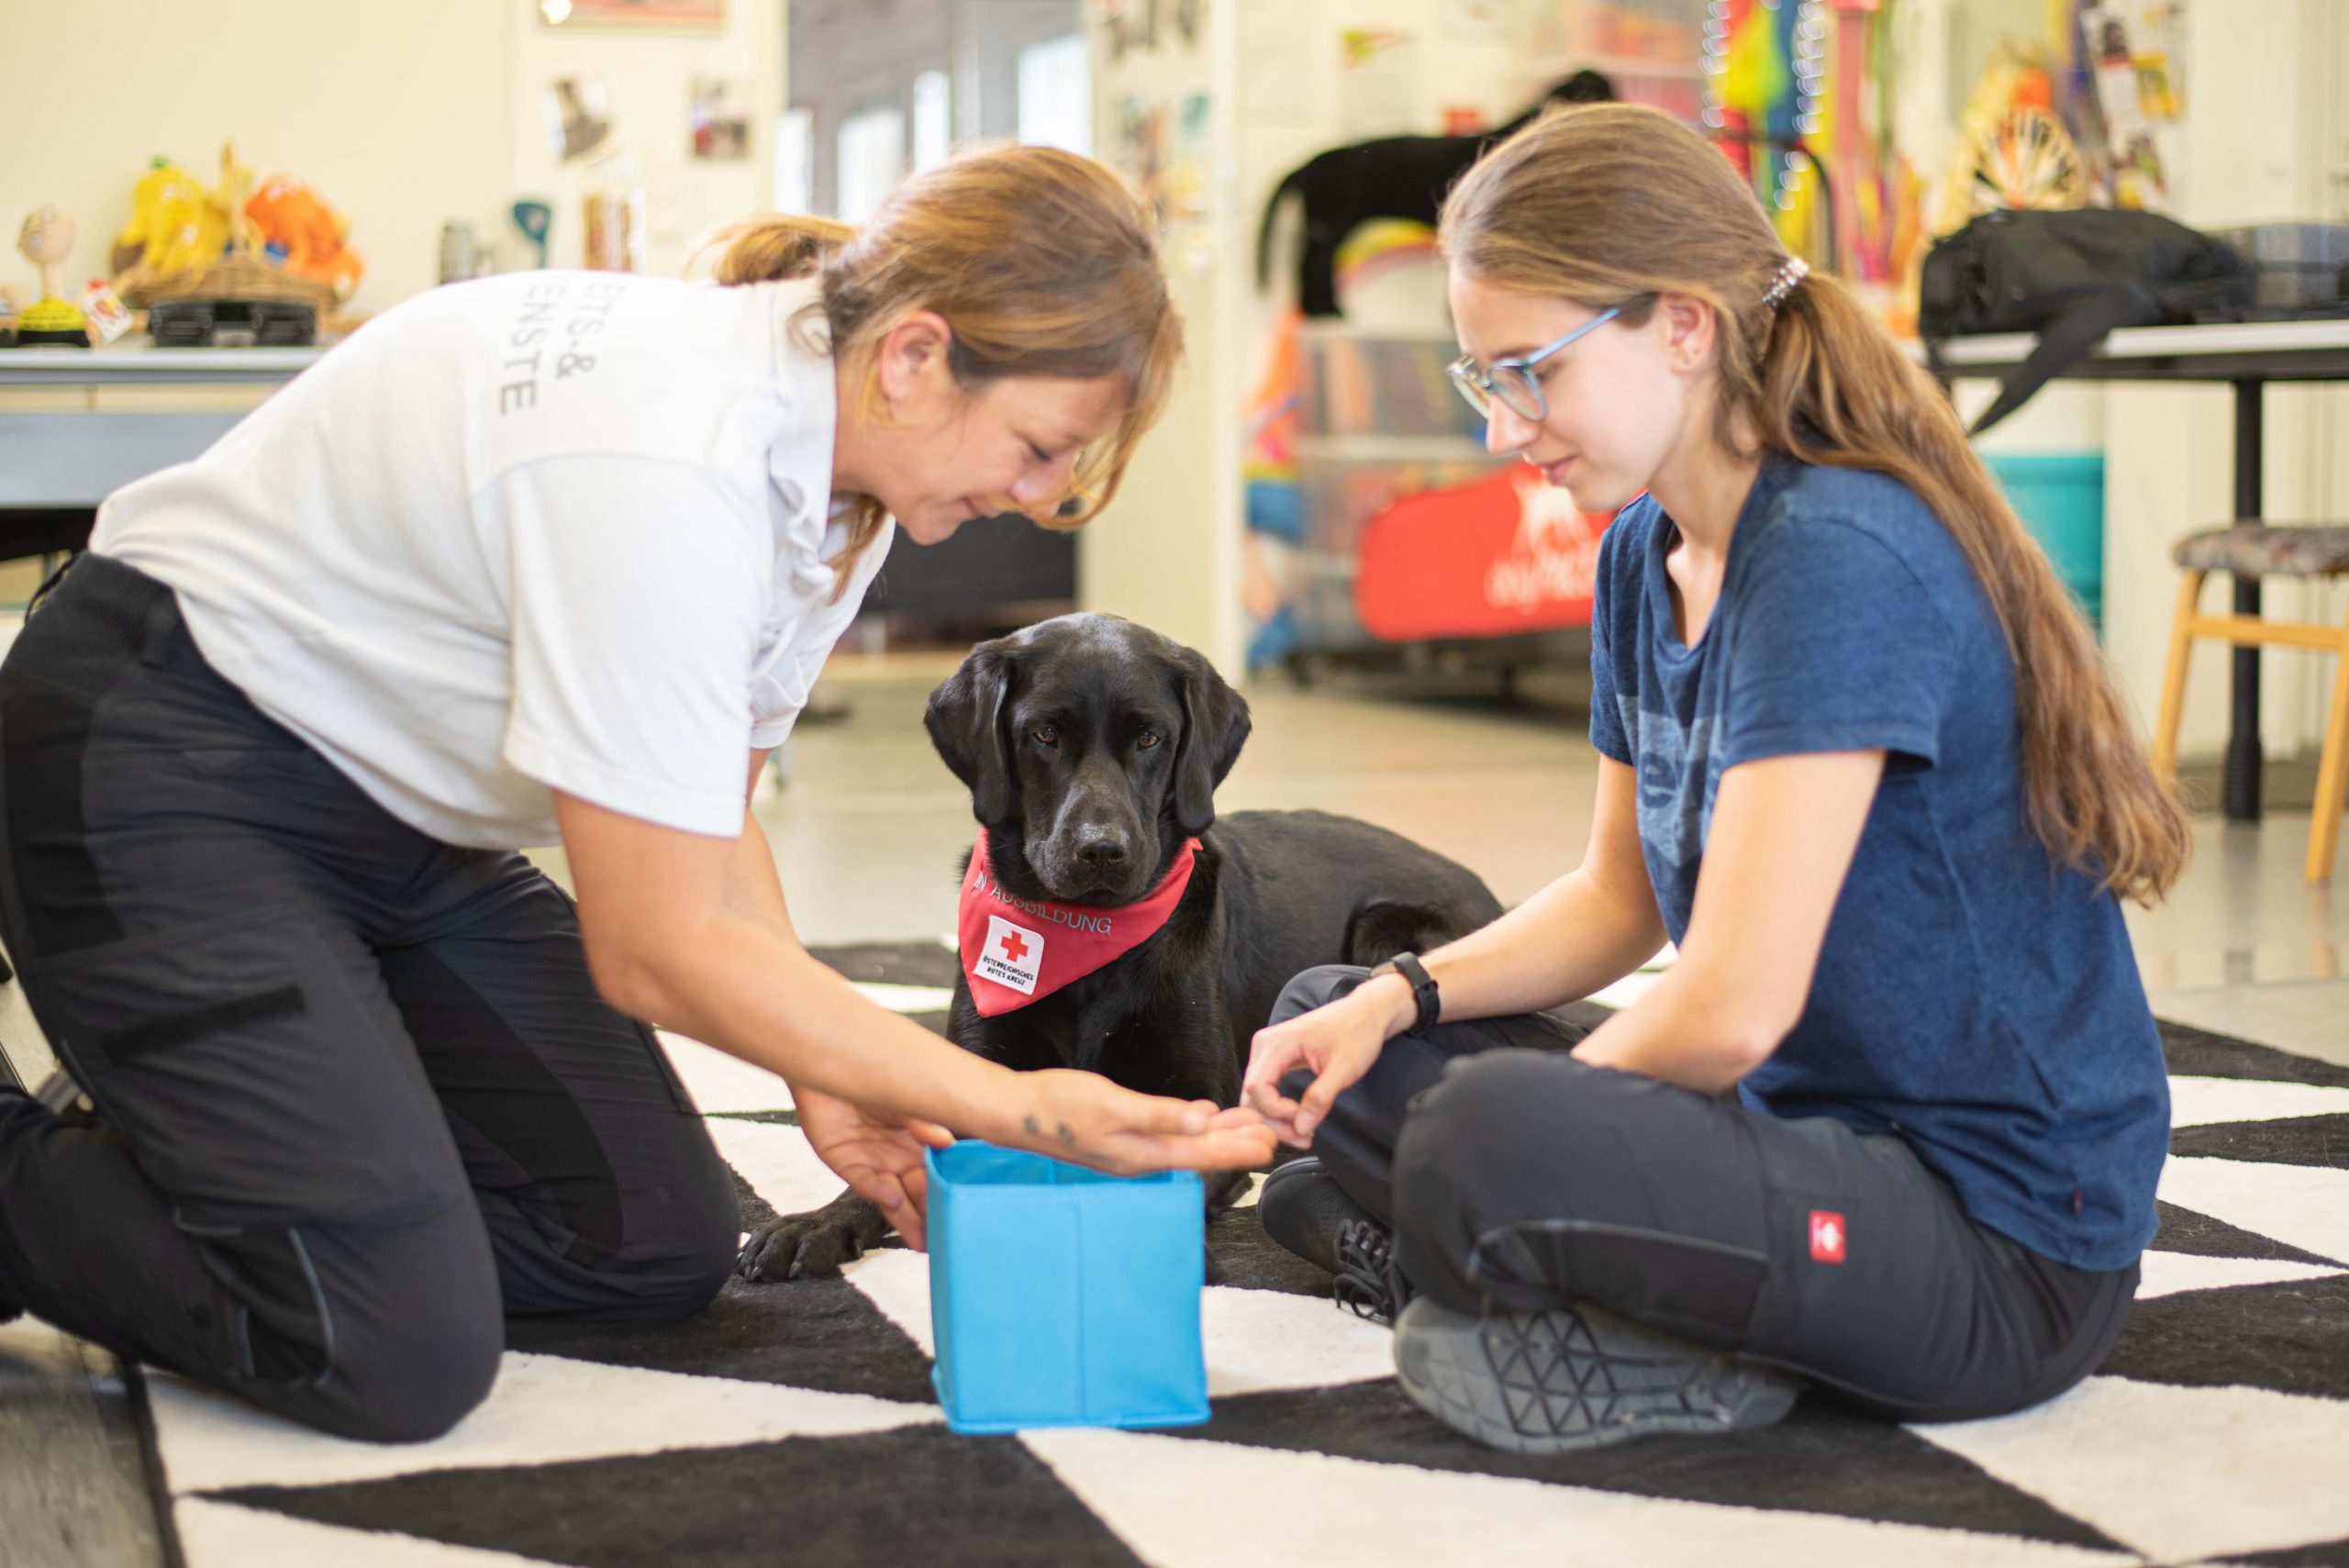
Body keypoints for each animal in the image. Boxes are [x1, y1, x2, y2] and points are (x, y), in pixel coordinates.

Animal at [737, 606, 1503, 1276]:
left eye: (1149, 737)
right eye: (1044, 734)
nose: (1101, 850)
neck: (1085, 954)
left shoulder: (1206, 1100)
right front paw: (813, 1222)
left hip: (1386, 932)